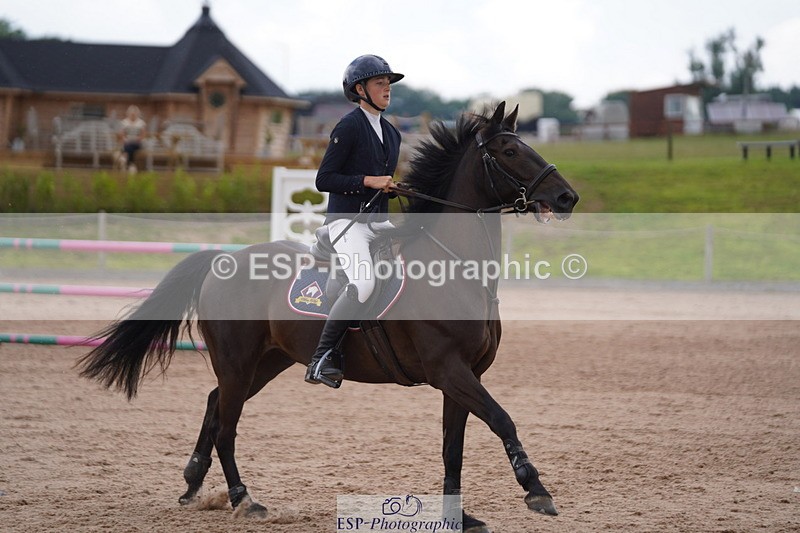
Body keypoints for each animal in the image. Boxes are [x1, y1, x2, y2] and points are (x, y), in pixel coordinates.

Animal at [77, 101, 579, 532]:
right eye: (510, 151)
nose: (567, 197)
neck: (455, 268)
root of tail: (224, 259)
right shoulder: (449, 371)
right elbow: (502, 419)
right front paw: (537, 491)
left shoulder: (463, 376)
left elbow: (452, 448)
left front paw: (460, 516)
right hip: (239, 362)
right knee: (226, 424)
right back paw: (244, 500)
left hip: (267, 361)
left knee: (214, 403)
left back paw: (192, 485)